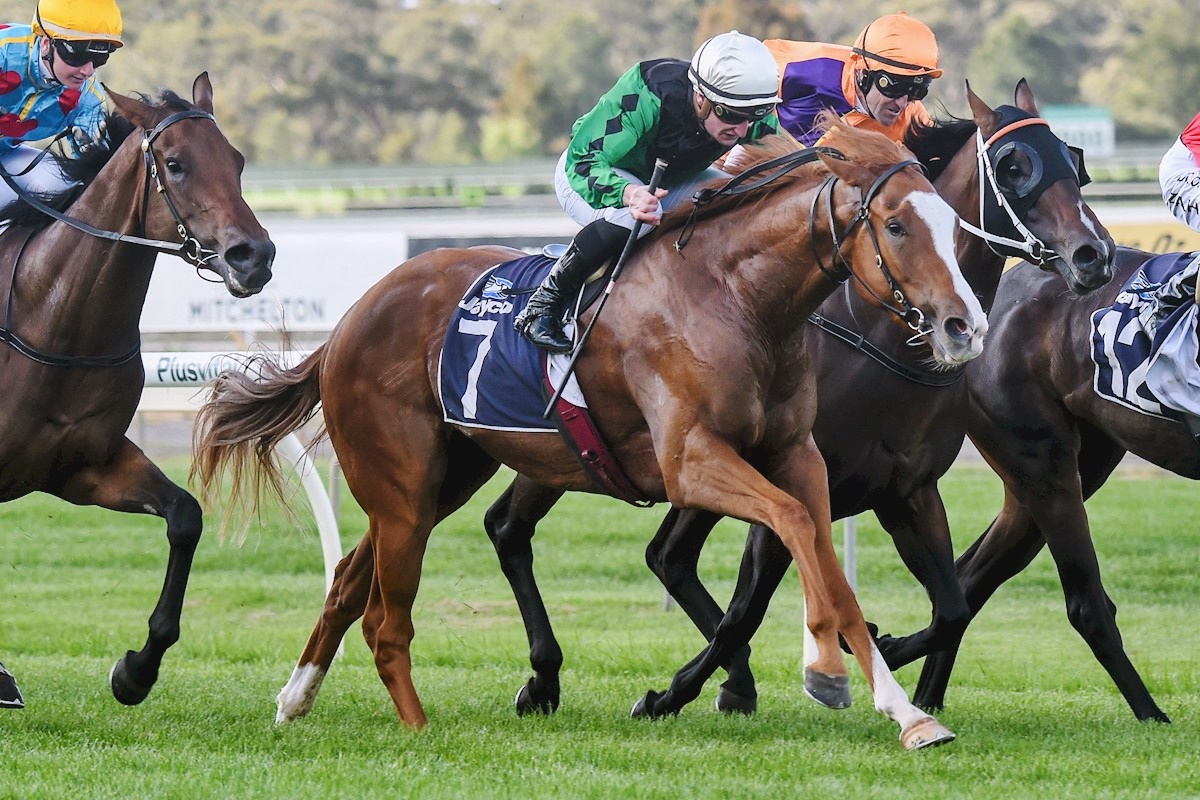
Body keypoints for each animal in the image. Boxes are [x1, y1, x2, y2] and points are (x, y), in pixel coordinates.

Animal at [0, 71, 274, 705]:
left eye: (237, 160)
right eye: (174, 164)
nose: (255, 255)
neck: (55, 322)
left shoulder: (80, 466)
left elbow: (185, 516)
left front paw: (136, 670)